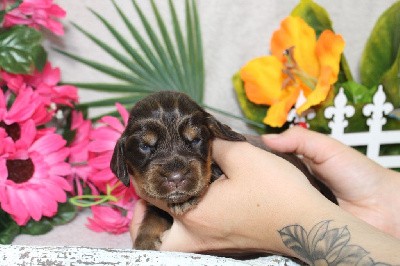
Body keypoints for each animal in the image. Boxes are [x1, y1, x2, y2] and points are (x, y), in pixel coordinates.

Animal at [109, 91, 334, 249]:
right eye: (145, 146)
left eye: (195, 140)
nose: (176, 177)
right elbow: (153, 216)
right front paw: (145, 241)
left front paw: (185, 199)